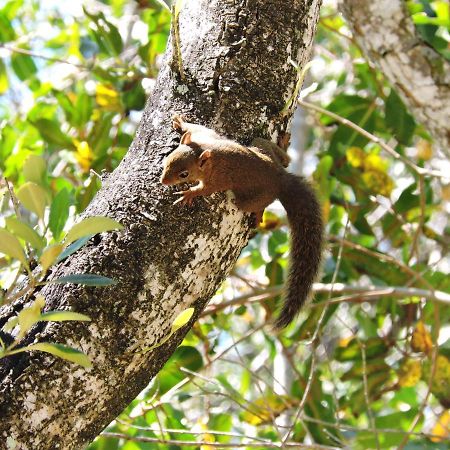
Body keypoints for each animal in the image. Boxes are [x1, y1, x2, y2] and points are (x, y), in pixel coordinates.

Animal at [162, 114, 324, 328]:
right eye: (169, 159)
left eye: (184, 174)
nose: (163, 181)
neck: (207, 156)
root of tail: (280, 180)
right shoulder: (205, 136)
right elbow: (198, 128)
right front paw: (181, 123)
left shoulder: (216, 180)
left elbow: (204, 190)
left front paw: (189, 194)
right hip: (261, 145)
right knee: (285, 160)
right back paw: (283, 145)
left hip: (249, 199)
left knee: (256, 203)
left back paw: (257, 213)